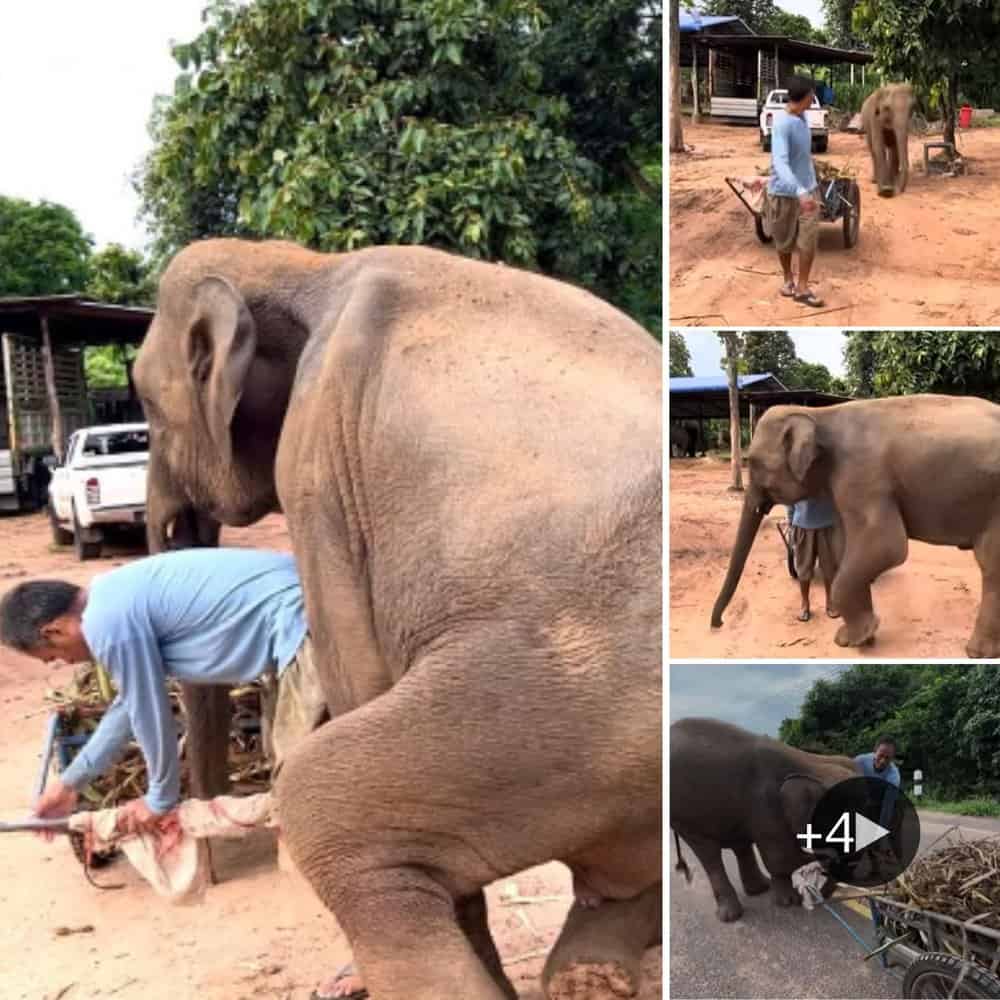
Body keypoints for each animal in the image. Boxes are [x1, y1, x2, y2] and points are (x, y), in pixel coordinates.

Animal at [133, 238, 663, 1000]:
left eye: (145, 404)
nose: (208, 887)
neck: (308, 264)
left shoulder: (317, 465)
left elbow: (357, 674)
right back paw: (590, 974)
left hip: (577, 718)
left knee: (327, 812)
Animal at [671, 717, 859, 922]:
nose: (821, 898)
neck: (811, 762)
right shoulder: (766, 803)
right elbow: (779, 855)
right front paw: (789, 903)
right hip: (684, 817)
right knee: (709, 854)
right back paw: (732, 915)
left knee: (740, 844)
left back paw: (760, 889)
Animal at [710, 394, 1000, 658]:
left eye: (754, 463)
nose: (717, 625)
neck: (820, 414)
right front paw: (866, 637)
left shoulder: (860, 475)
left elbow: (887, 546)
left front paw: (849, 640)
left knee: (990, 565)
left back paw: (977, 652)